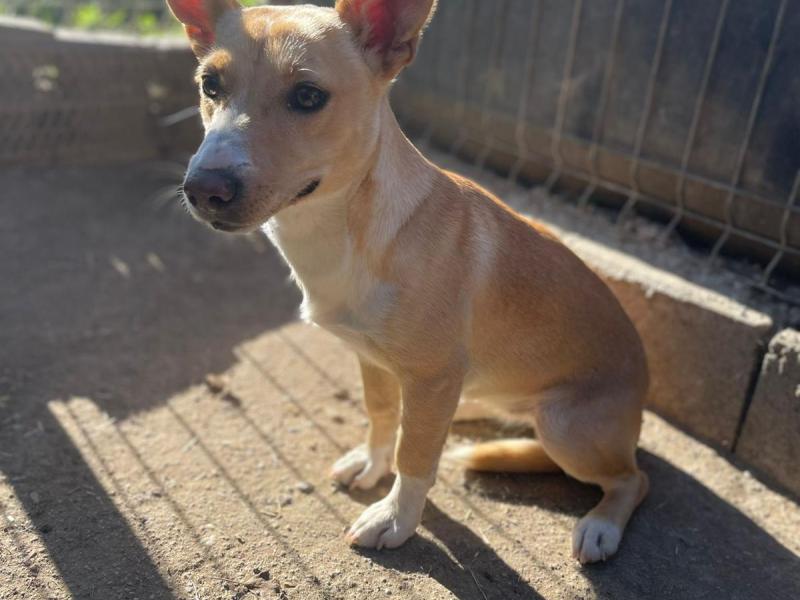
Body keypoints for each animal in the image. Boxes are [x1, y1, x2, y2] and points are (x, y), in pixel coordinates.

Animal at [166, 0, 649, 563]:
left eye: (307, 96)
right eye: (210, 84)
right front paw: (373, 464)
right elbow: (381, 417)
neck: (342, 235)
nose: (202, 188)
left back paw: (601, 525)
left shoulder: (432, 377)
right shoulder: (373, 360)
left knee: (634, 479)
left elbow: (415, 456)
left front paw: (396, 518)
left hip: (565, 427)